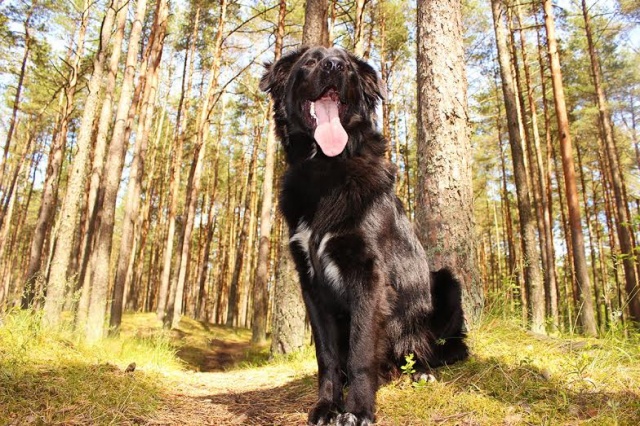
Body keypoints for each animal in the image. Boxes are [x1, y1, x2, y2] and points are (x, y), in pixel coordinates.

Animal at [260, 46, 468, 426]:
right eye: (310, 61)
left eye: (349, 68)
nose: (334, 66)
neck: (326, 169)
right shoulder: (311, 284)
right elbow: (328, 357)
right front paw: (327, 406)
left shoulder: (368, 276)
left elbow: (359, 352)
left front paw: (357, 410)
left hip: (445, 283)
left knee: (437, 347)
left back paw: (421, 371)